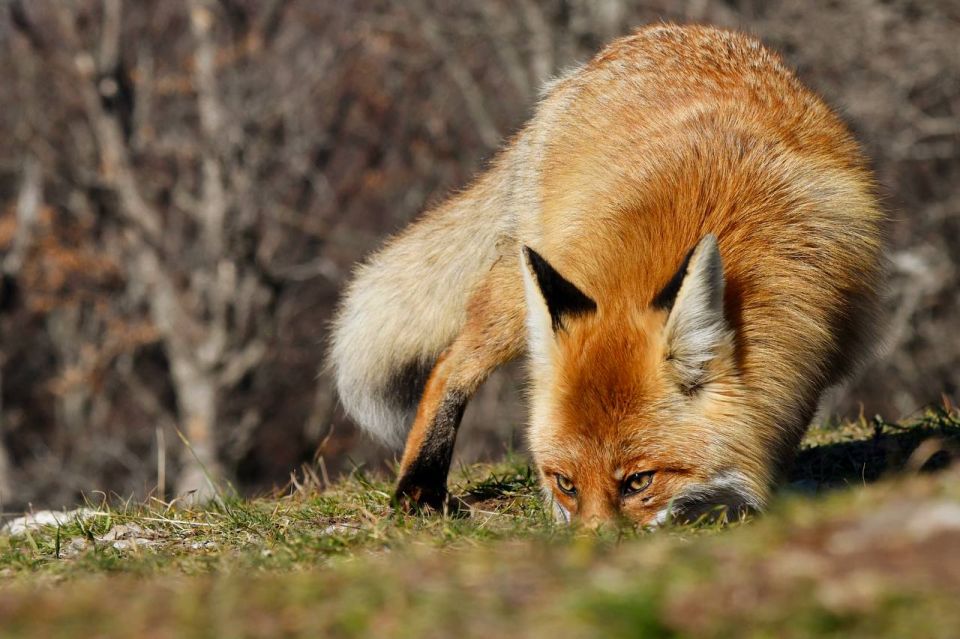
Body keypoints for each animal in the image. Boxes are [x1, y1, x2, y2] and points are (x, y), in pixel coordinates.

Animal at [329, 24, 884, 527]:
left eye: (639, 481)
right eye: (566, 483)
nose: (591, 545)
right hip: (521, 288)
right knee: (450, 364)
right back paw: (418, 488)